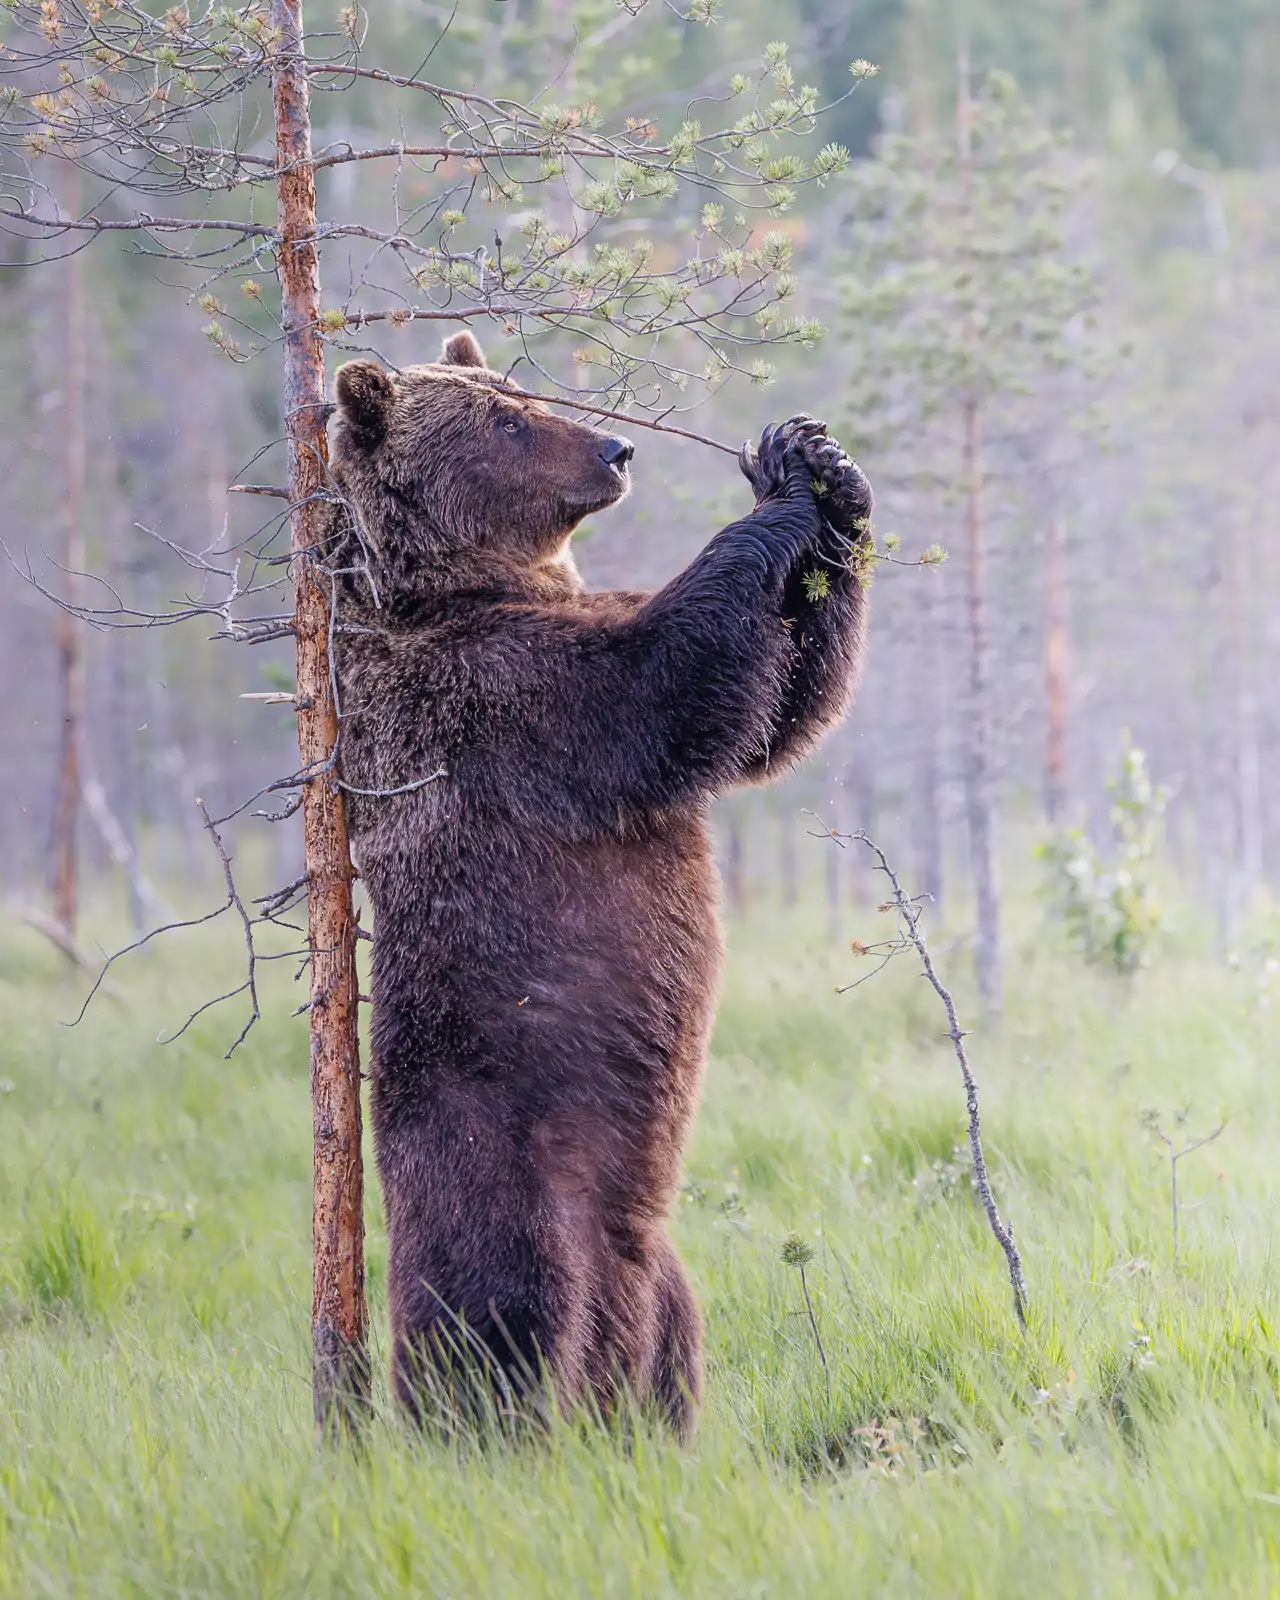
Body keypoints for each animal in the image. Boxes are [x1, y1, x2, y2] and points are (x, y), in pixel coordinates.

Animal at [328, 329, 871, 1436]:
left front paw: (823, 466)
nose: (615, 448)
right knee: (496, 1313)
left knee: (665, 1318)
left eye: (523, 390)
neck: (446, 592)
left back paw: (648, 1425)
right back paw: (476, 1425)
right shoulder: (492, 698)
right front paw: (778, 493)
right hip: (499, 1158)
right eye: (505, 420)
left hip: (645, 1256)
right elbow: (671, 688)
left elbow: (781, 711)